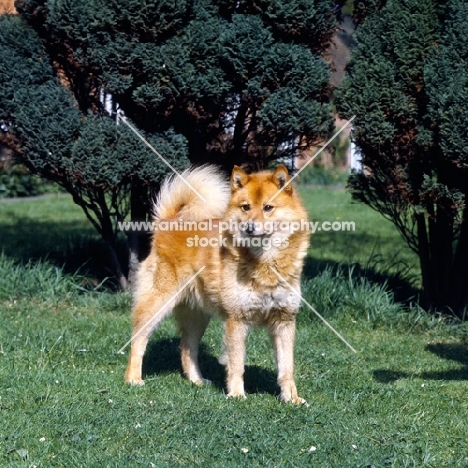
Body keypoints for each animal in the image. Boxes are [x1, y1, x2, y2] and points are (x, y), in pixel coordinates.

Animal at [125, 164, 310, 402]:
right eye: (245, 207)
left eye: (268, 207)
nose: (250, 227)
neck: (265, 262)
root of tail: (167, 223)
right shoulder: (237, 320)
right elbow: (237, 364)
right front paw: (237, 395)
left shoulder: (284, 321)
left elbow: (287, 368)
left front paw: (291, 399)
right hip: (157, 305)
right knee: (139, 340)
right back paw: (133, 379)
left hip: (198, 315)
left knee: (187, 347)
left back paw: (197, 381)